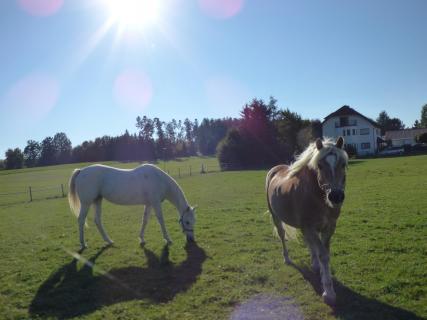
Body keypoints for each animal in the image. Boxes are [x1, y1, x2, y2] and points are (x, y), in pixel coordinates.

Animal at [68, 162, 197, 250]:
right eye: (187, 222)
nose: (191, 240)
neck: (159, 180)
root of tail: (81, 170)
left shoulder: (149, 204)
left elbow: (145, 220)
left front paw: (142, 239)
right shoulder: (155, 203)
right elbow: (161, 220)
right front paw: (168, 239)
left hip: (97, 200)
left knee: (97, 220)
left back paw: (109, 241)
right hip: (86, 203)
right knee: (81, 220)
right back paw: (83, 244)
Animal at [266, 136, 350, 304]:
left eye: (343, 164)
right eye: (320, 165)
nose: (336, 196)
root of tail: (275, 169)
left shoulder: (329, 228)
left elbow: (323, 252)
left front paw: (321, 272)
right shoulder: (310, 227)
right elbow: (323, 254)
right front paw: (328, 292)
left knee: (309, 242)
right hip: (276, 217)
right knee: (282, 235)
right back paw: (287, 258)